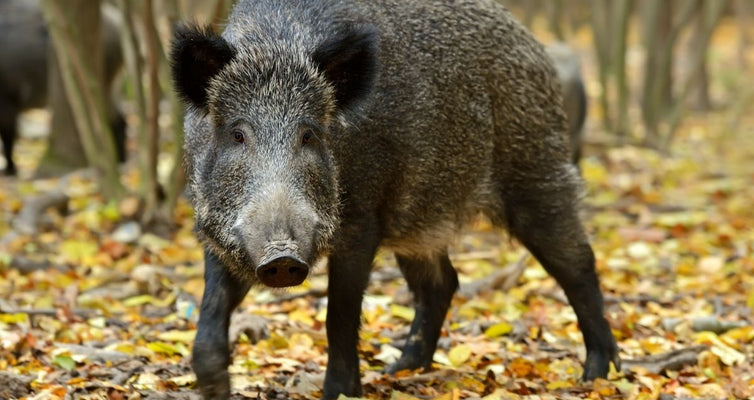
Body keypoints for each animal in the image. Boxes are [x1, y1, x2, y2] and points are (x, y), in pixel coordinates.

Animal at [170, 1, 620, 399]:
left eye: (309, 134)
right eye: (237, 133)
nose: (282, 256)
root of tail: (533, 45)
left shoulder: (362, 220)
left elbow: (339, 317)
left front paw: (341, 394)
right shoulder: (220, 229)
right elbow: (210, 313)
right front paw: (215, 389)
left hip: (537, 170)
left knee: (579, 264)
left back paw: (598, 375)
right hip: (418, 221)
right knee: (442, 282)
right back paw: (401, 370)